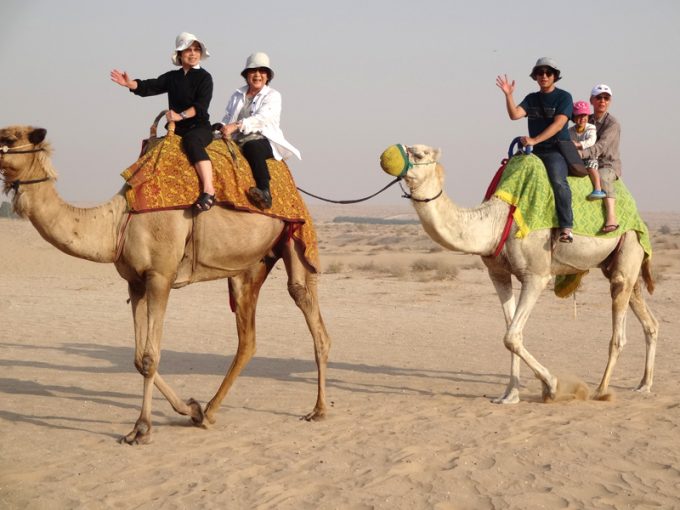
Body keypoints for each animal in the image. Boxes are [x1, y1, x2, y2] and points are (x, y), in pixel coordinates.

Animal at [0, 125, 330, 444]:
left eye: (9, 138)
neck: (118, 221)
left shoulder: (161, 276)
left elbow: (150, 356)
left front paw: (142, 428)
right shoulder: (135, 282)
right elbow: (138, 358)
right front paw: (191, 409)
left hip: (295, 235)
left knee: (306, 306)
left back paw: (318, 410)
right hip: (249, 266)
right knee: (247, 339)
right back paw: (209, 411)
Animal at [388, 142, 660, 402]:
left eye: (420, 154)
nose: (389, 155)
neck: (495, 221)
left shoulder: (536, 275)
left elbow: (511, 337)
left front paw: (552, 387)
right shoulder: (498, 274)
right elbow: (511, 331)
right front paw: (510, 394)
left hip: (629, 244)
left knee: (619, 329)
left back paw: (601, 391)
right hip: (618, 262)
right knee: (648, 318)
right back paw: (644, 385)